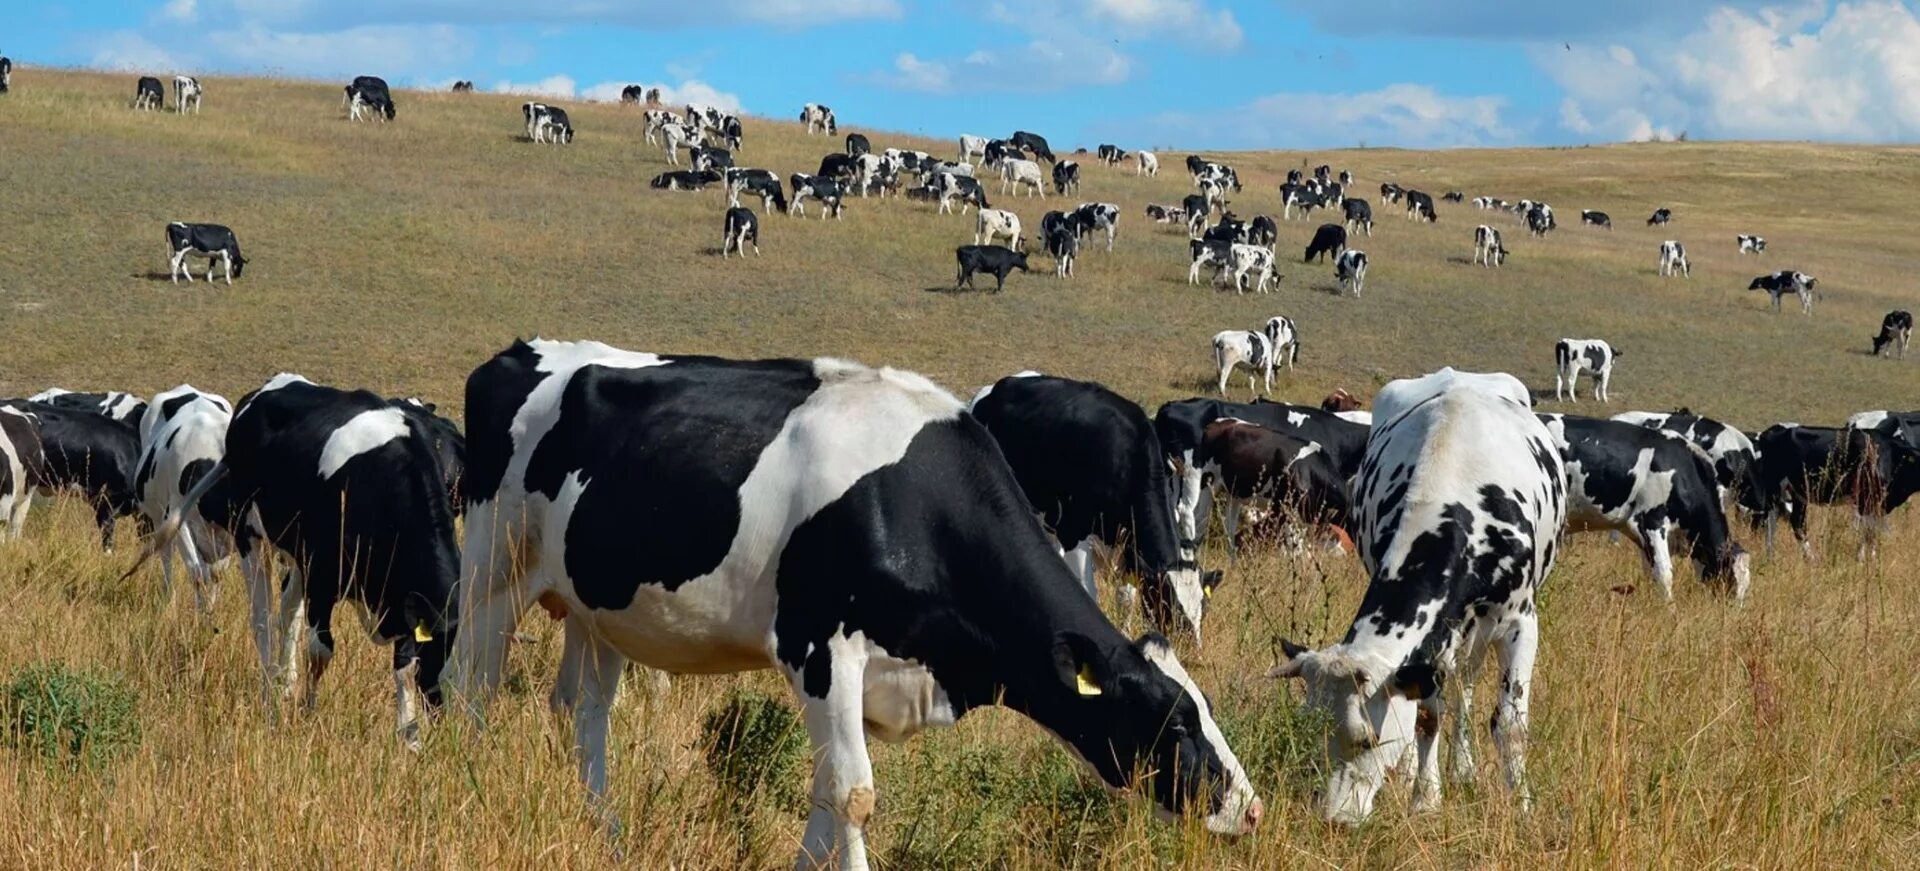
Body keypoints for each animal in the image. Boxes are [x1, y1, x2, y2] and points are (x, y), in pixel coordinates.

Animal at [128, 374, 464, 740]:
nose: (448, 723)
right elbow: (320, 650)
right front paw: (308, 712)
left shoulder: (403, 597)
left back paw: (283, 681)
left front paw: (409, 736)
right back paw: (268, 690)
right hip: (249, 535)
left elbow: (402, 665)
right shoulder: (323, 576)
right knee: (261, 617)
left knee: (287, 612)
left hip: (295, 555)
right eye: (441, 664)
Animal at [967, 370, 1221, 636]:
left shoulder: (1128, 546)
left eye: (1204, 607)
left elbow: (1126, 598)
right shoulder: (1073, 533)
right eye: (1168, 604)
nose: (1191, 645)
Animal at [1267, 366, 1566, 824]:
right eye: (1311, 729)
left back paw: (1465, 769)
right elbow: (1427, 717)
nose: (1336, 818)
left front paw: (1523, 808)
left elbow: (1512, 725)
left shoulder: (1521, 623)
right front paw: (1425, 798)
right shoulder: (1432, 643)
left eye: (1368, 739)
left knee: (1467, 686)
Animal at [1536, 414, 1751, 598]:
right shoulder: (1651, 522)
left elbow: (1651, 573)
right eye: (1731, 579)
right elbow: (1664, 574)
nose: (1733, 611)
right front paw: (1669, 610)